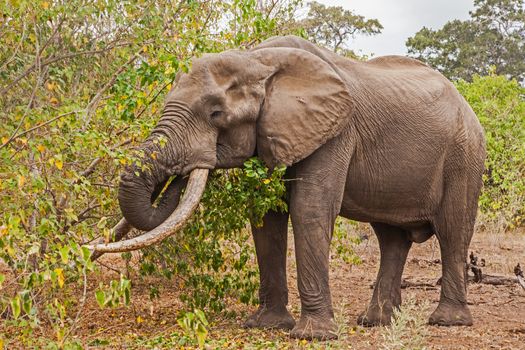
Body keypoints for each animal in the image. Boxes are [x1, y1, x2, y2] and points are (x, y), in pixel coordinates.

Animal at [88, 35, 486, 340]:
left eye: (216, 113)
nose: (183, 173)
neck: (257, 60)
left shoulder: (335, 131)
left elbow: (310, 209)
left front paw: (312, 336)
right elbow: (267, 219)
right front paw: (267, 326)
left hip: (465, 156)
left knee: (452, 230)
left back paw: (446, 321)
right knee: (391, 238)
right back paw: (375, 322)